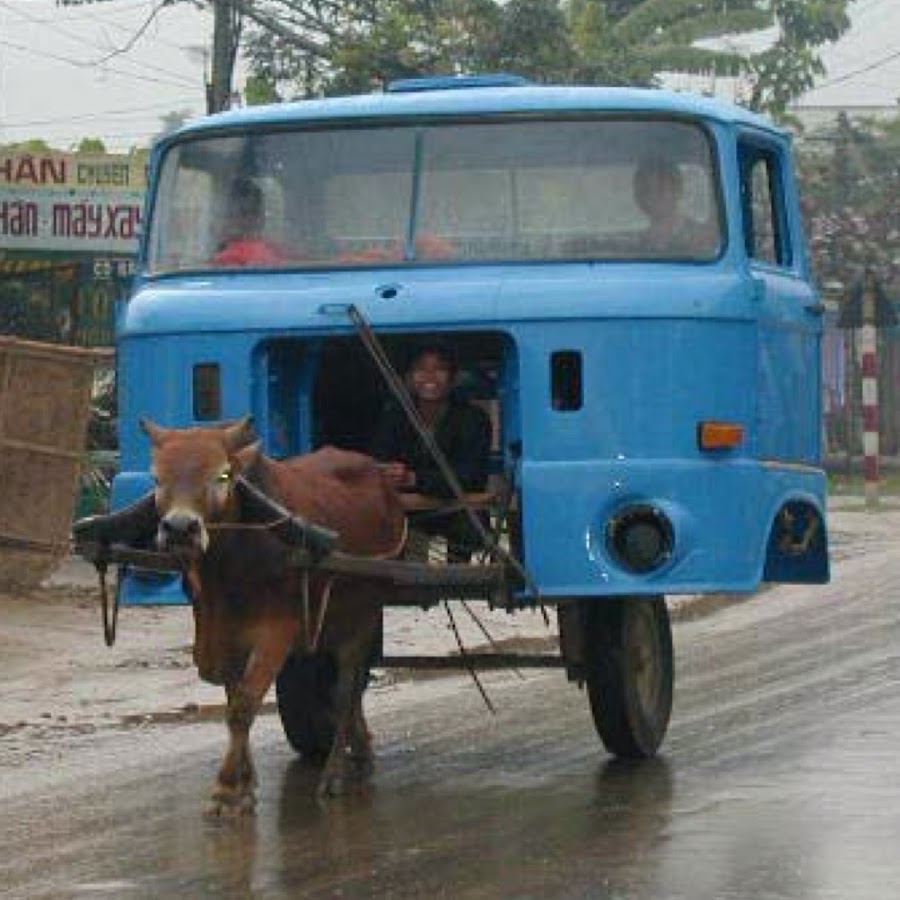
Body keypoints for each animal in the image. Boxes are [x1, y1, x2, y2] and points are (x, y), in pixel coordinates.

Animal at [139, 416, 406, 816]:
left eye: (222, 475)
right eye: (156, 478)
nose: (180, 529)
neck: (228, 569)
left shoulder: (275, 634)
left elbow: (244, 706)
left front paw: (225, 790)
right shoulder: (224, 637)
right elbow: (234, 701)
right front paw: (244, 785)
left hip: (361, 616)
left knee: (345, 692)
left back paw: (335, 774)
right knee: (351, 689)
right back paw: (361, 753)